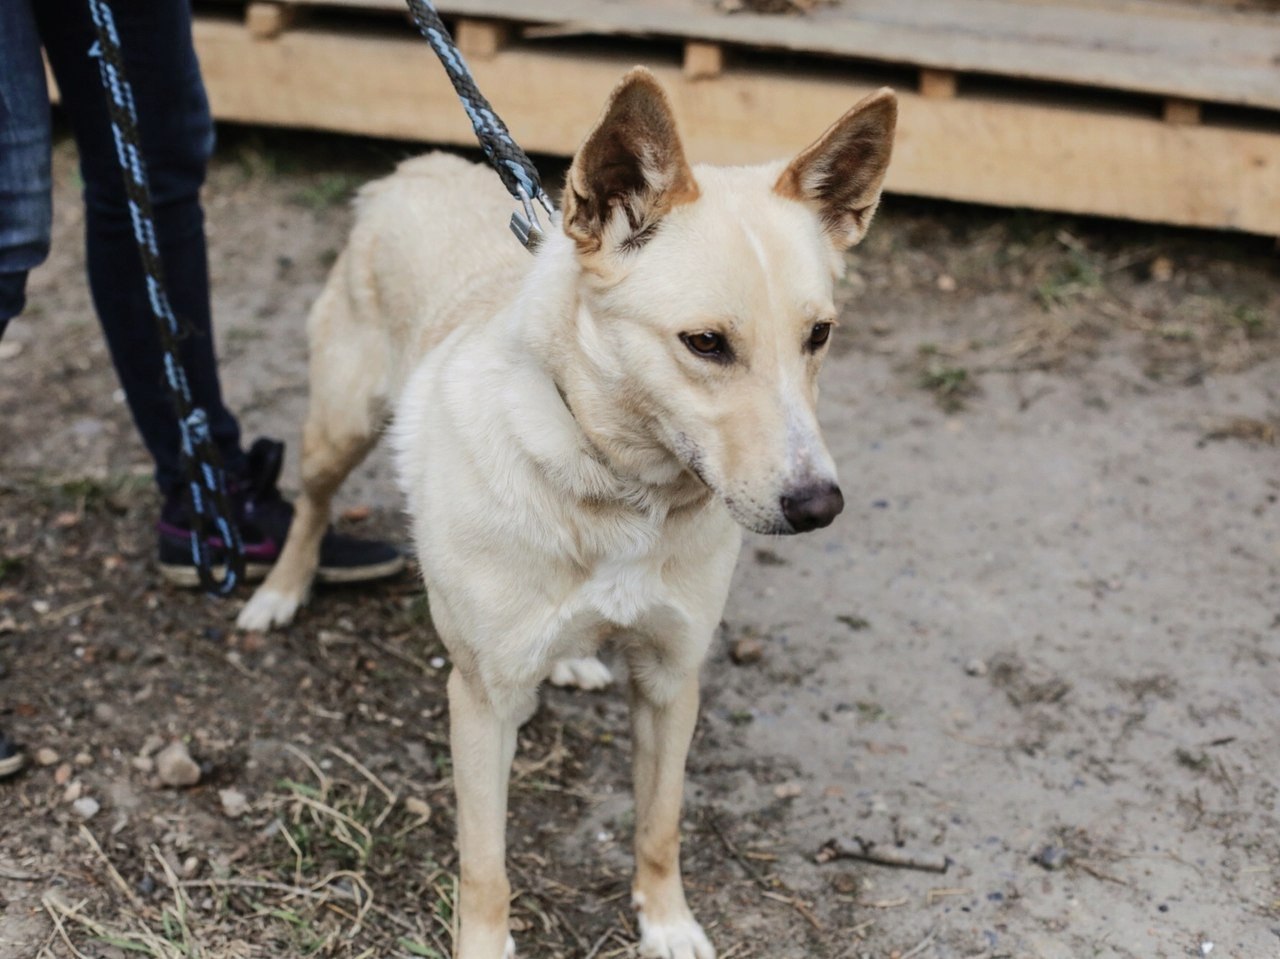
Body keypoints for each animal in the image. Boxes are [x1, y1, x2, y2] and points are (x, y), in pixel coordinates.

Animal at [241, 69, 901, 957]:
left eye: (820, 335)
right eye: (705, 343)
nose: (819, 504)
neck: (619, 492)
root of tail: (420, 167)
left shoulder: (670, 679)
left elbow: (659, 824)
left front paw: (667, 921)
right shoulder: (481, 701)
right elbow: (485, 863)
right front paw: (486, 944)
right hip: (337, 427)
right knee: (311, 503)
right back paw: (280, 590)